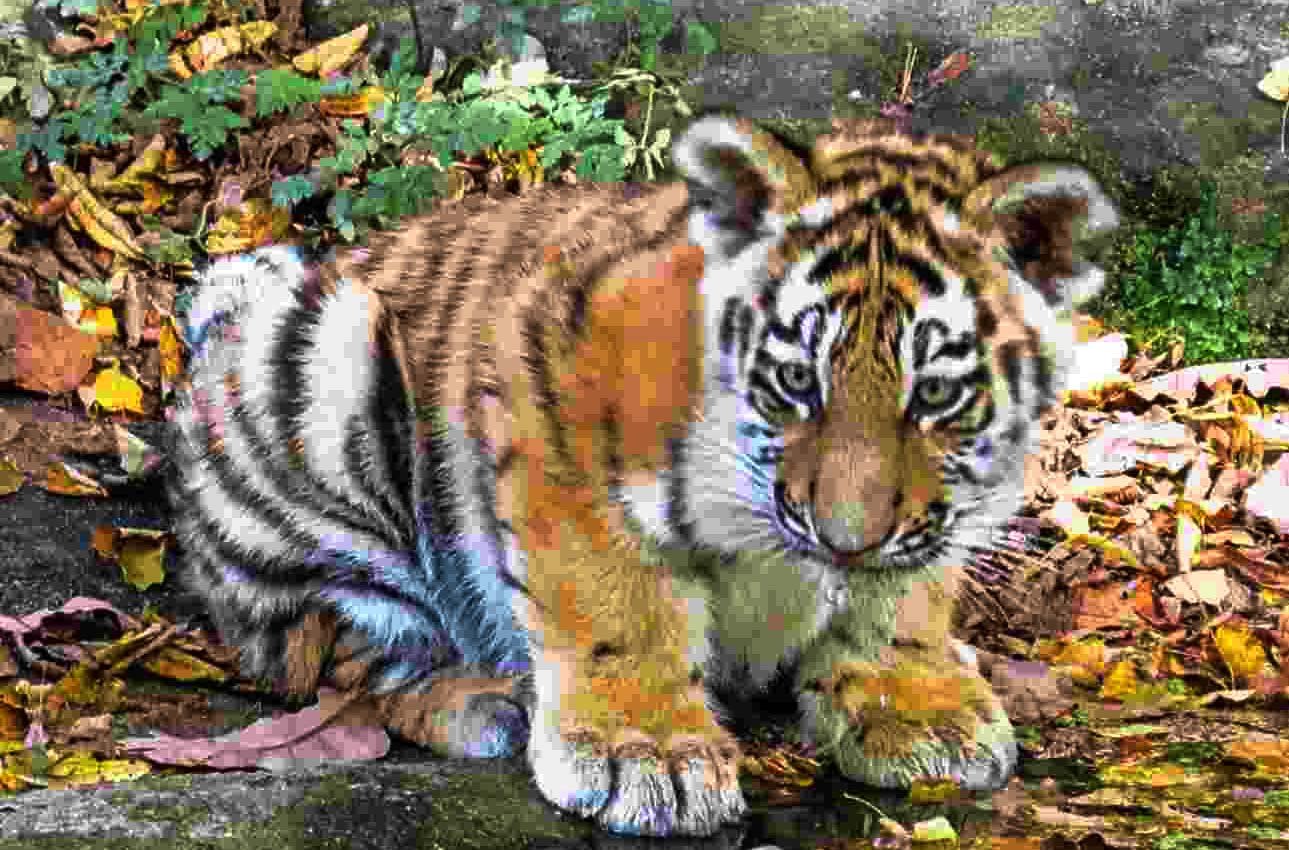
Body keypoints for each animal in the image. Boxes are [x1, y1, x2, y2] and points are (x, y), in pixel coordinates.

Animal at [168, 113, 1119, 838]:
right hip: (321, 372)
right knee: (333, 655)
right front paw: (648, 754)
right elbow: (614, 598)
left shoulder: (938, 512)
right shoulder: (550, 388)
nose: (844, 541)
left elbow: (900, 596)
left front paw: (915, 706)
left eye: (934, 395)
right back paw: (487, 700)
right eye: (796, 381)